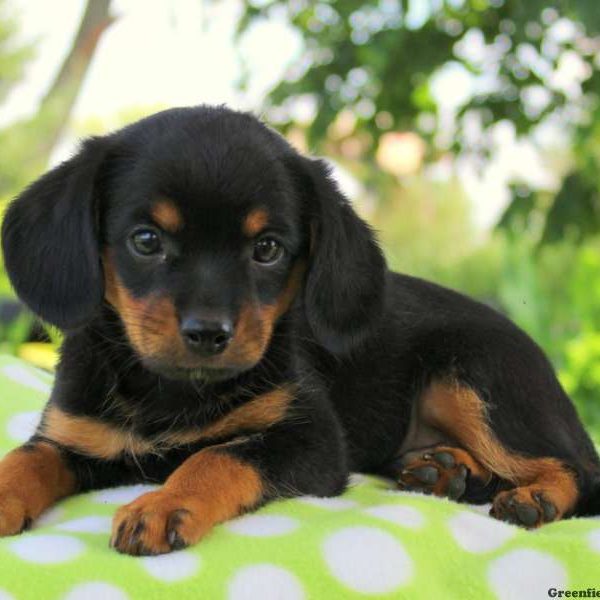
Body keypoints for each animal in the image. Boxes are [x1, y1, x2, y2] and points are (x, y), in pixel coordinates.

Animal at [1, 105, 600, 556]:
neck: (171, 389)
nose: (208, 333)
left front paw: (163, 505)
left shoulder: (310, 439)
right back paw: (446, 472)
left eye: (267, 249)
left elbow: (219, 455)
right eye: (145, 240)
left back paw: (533, 498)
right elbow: (25, 459)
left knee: (577, 468)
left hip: (475, 379)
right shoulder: (73, 438)